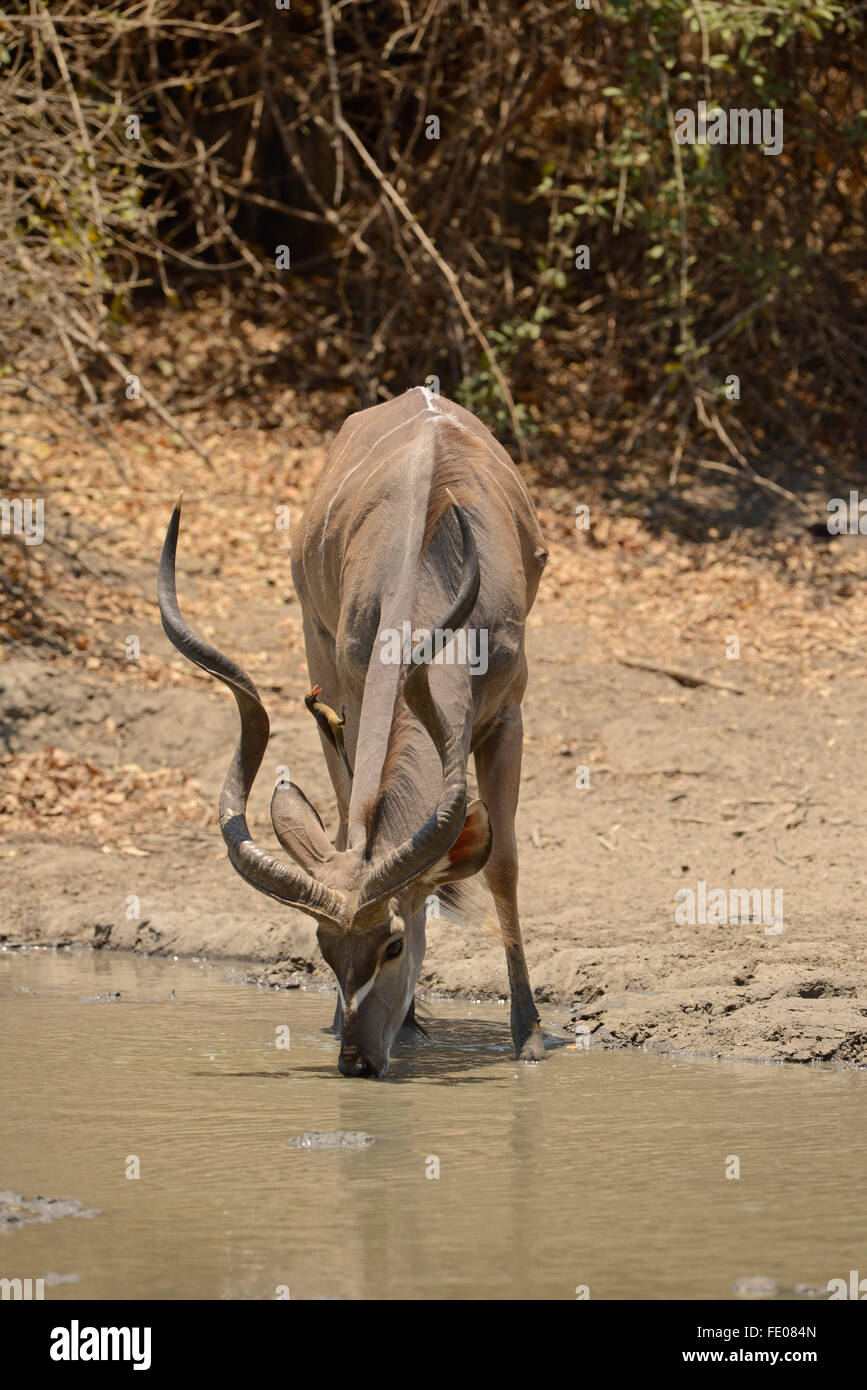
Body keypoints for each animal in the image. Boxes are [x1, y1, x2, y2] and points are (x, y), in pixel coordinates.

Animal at [157, 386, 547, 1078]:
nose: (356, 1063)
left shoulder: (508, 717)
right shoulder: (355, 691)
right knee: (344, 818)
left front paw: (527, 1036)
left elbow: (502, 862)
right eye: (322, 947)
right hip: (324, 669)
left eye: (393, 945)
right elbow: (356, 822)